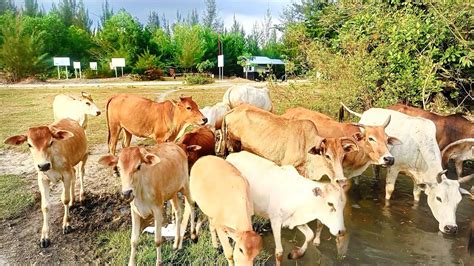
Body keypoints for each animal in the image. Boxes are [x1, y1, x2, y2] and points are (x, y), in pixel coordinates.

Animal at [3, 118, 88, 247]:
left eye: (51, 142)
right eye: (29, 144)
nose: (43, 165)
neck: (51, 160)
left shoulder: (66, 175)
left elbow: (65, 199)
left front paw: (66, 224)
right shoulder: (42, 179)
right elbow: (45, 206)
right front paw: (45, 237)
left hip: (83, 156)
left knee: (81, 173)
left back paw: (81, 196)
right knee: (74, 175)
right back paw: (73, 201)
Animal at [344, 106, 474, 235]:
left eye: (458, 201)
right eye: (438, 198)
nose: (451, 228)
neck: (419, 147)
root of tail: (368, 112)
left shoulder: (419, 179)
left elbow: (416, 195)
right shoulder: (394, 168)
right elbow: (389, 191)